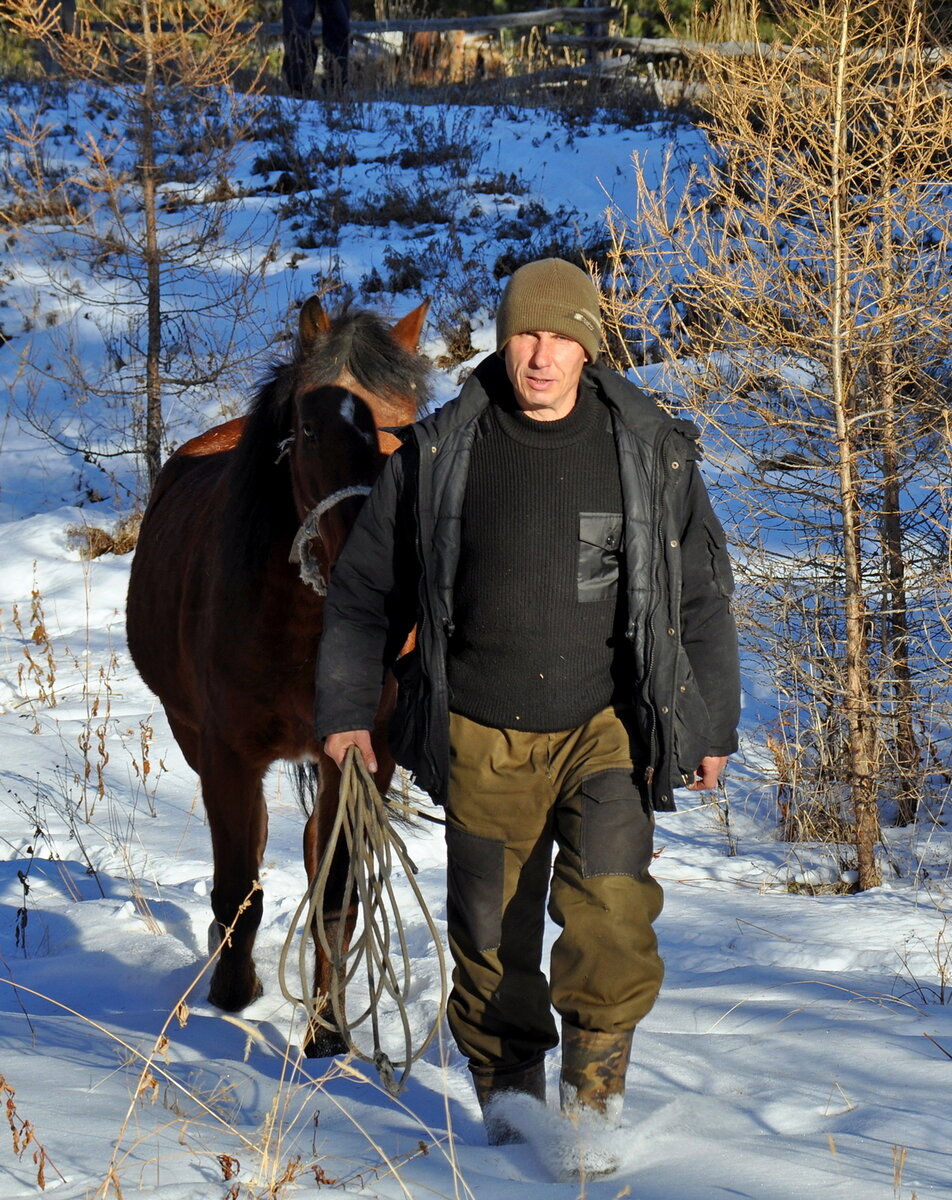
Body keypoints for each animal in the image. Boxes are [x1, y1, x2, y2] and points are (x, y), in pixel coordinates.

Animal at [125, 295, 427, 1056]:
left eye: (408, 428)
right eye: (312, 428)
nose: (382, 558)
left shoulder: (361, 756)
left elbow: (337, 895)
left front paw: (328, 1034)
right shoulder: (228, 753)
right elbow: (238, 882)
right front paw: (234, 997)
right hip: (193, 736)